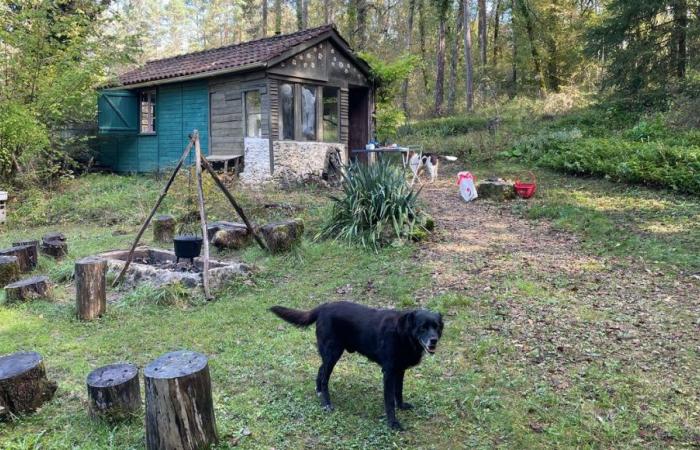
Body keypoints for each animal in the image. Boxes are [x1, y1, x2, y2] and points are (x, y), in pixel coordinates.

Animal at [270, 300, 442, 430]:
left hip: (330, 354)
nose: (433, 340)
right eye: (423, 327)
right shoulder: (388, 372)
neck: (403, 333)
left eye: (437, 327)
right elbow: (389, 401)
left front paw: (401, 406)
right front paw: (393, 423)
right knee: (324, 377)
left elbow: (398, 392)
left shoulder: (399, 370)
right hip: (332, 353)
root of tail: (324, 307)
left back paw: (319, 392)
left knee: (320, 371)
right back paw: (326, 403)